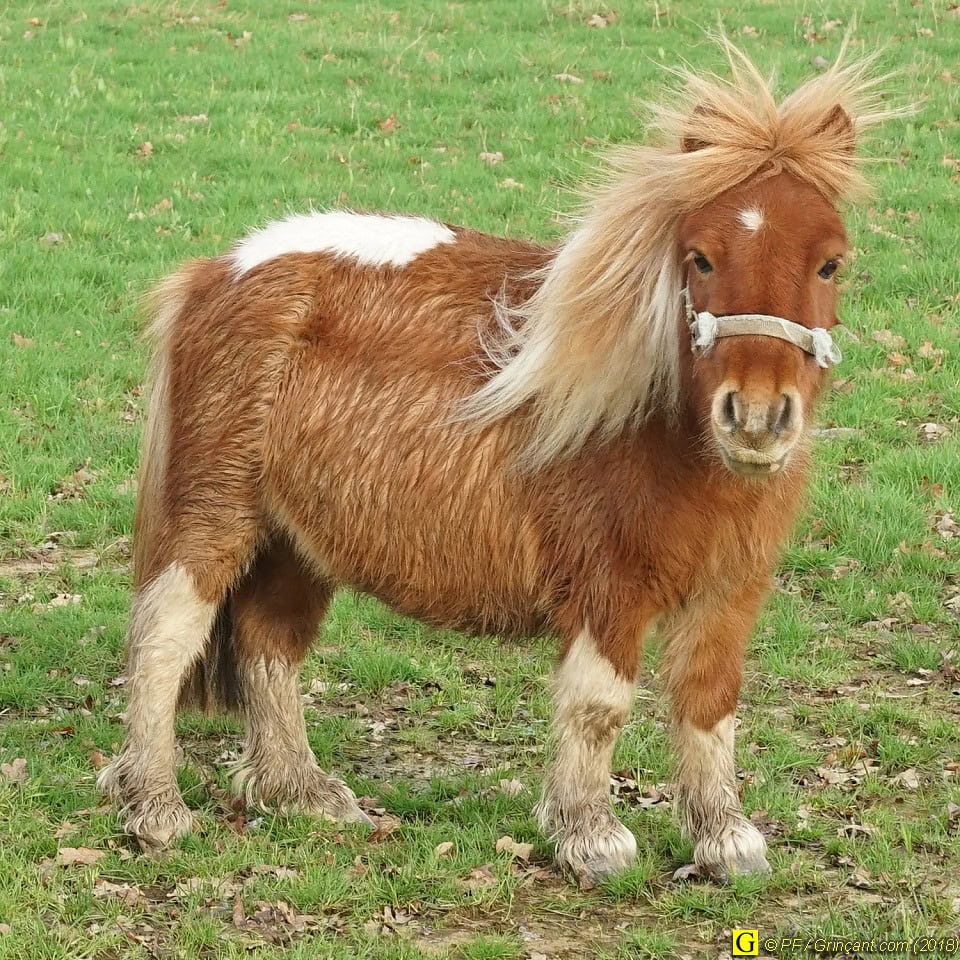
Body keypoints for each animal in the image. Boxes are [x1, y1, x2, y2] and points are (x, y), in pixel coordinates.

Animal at [101, 43, 896, 884]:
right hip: (215, 517)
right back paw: (155, 809)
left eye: (831, 264)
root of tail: (217, 272)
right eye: (702, 258)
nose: (757, 418)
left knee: (268, 640)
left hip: (298, 540)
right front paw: (591, 839)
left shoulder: (730, 592)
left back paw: (300, 793)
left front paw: (724, 838)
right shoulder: (608, 589)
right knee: (163, 638)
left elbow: (710, 705)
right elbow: (599, 706)